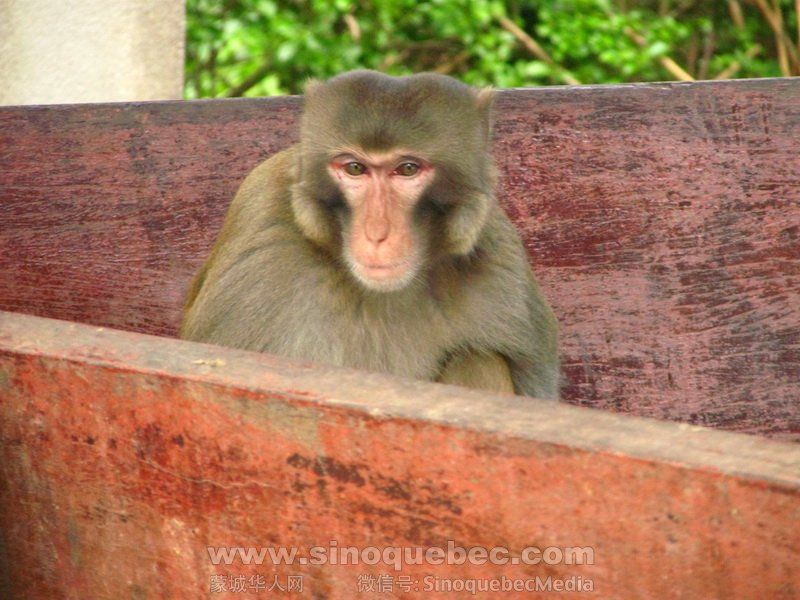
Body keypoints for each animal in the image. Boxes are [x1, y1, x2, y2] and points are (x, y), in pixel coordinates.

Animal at [181, 70, 560, 398]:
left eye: (407, 169)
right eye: (354, 168)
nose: (377, 234)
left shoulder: (499, 261)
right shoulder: (260, 242)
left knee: (478, 359)